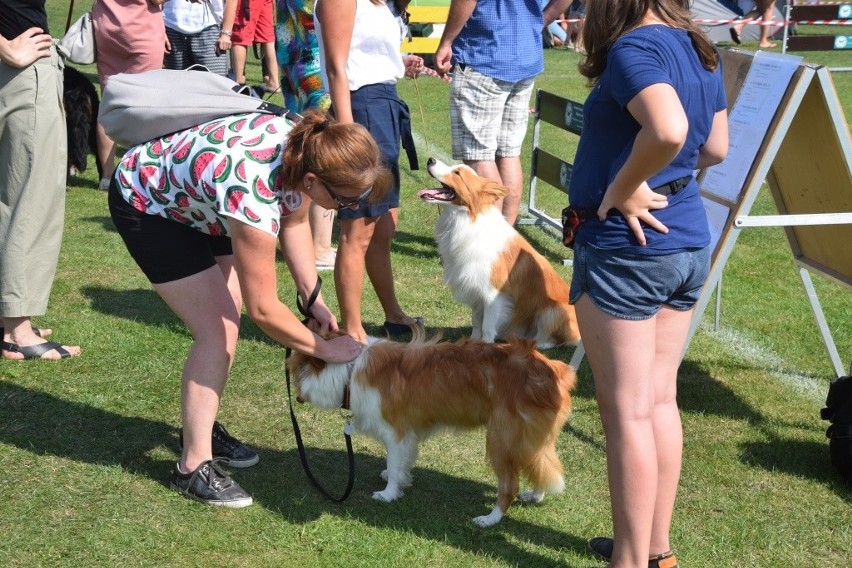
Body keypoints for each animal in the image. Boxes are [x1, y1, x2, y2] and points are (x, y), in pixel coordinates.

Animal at [288, 332, 580, 528]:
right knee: (542, 465)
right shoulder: (408, 435)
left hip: (501, 439)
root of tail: (557, 371)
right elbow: (401, 464)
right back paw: (536, 495)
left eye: (295, 372)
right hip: (531, 439)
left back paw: (490, 519)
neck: (350, 371)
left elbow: (394, 463)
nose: (297, 397)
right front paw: (396, 479)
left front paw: (388, 493)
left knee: (510, 485)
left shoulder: (396, 432)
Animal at [418, 158, 584, 348]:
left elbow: (487, 326)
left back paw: (540, 343)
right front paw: (472, 343)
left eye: (457, 173)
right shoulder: (475, 289)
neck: (467, 219)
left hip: (553, 311)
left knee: (559, 339)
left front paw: (486, 347)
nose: (430, 160)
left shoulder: (493, 294)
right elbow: (476, 322)